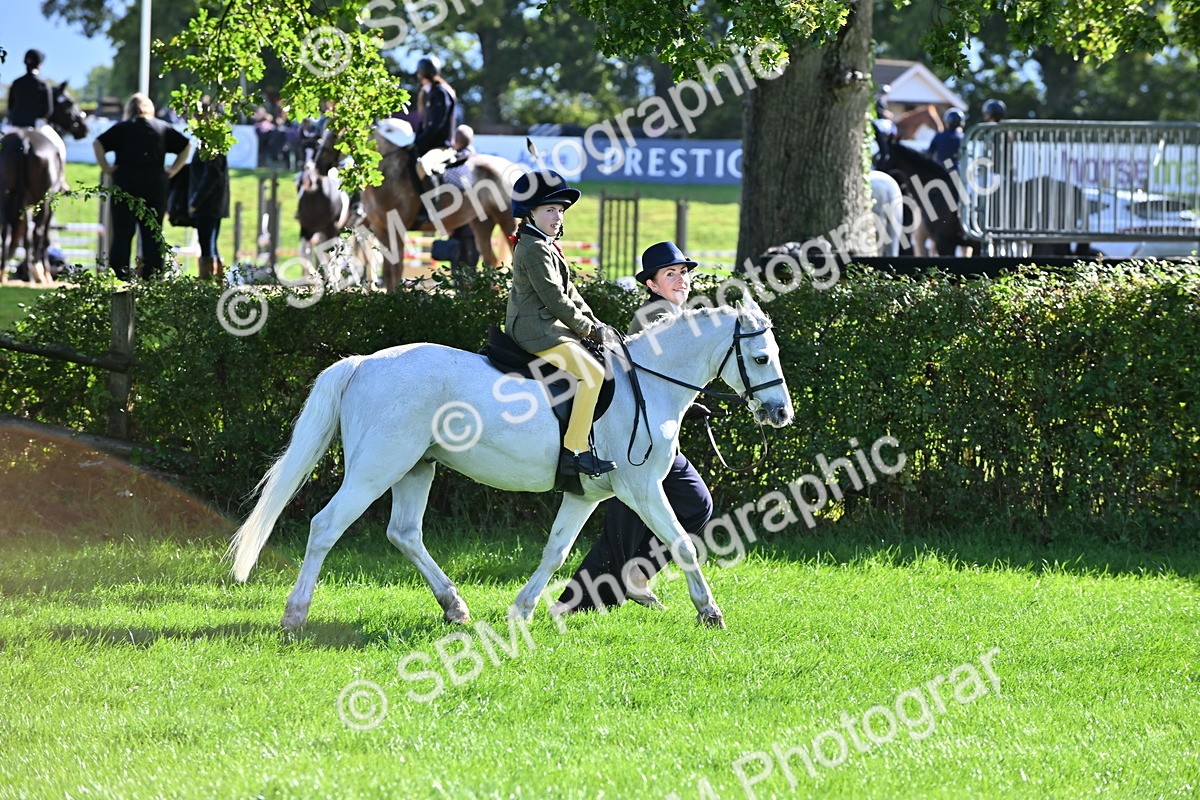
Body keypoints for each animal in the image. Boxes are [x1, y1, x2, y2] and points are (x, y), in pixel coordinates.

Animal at [0, 82, 88, 284]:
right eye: (69, 102)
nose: (83, 128)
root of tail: (23, 140)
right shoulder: (50, 202)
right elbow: (43, 236)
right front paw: (43, 271)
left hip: (8, 197)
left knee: (8, 231)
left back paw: (6, 273)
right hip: (42, 200)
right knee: (37, 233)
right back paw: (37, 274)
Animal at [229, 299, 795, 630]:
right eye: (761, 358)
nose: (781, 413)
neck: (649, 384)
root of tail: (364, 362)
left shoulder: (585, 495)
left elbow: (556, 551)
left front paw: (522, 610)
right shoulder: (642, 489)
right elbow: (682, 543)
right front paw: (710, 612)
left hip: (416, 468)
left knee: (404, 533)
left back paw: (454, 607)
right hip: (377, 470)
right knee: (326, 526)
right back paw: (295, 616)